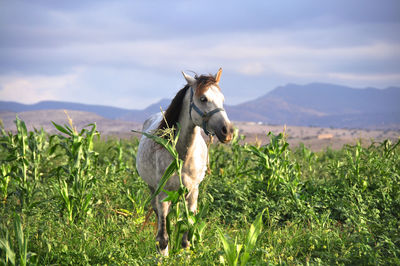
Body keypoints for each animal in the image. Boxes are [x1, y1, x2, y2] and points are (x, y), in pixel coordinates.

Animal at [136, 67, 233, 255]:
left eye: (222, 99)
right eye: (203, 99)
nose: (227, 131)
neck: (182, 156)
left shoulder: (192, 193)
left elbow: (187, 237)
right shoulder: (163, 194)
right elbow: (162, 239)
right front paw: (162, 257)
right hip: (153, 190)